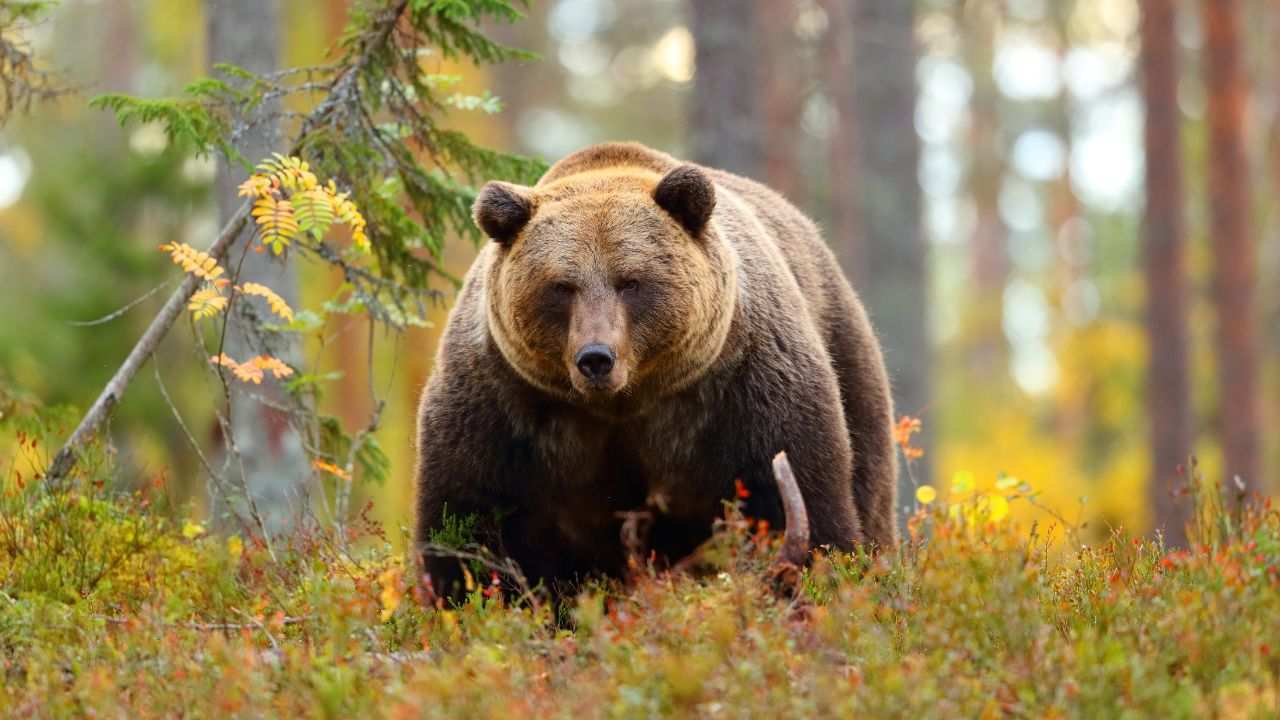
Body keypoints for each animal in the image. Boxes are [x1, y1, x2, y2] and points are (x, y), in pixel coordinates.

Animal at [414, 141, 897, 598]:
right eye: (562, 286)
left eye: (630, 281)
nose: (596, 357)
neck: (623, 404)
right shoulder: (504, 408)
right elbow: (466, 522)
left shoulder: (744, 389)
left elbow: (801, 500)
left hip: (847, 356)